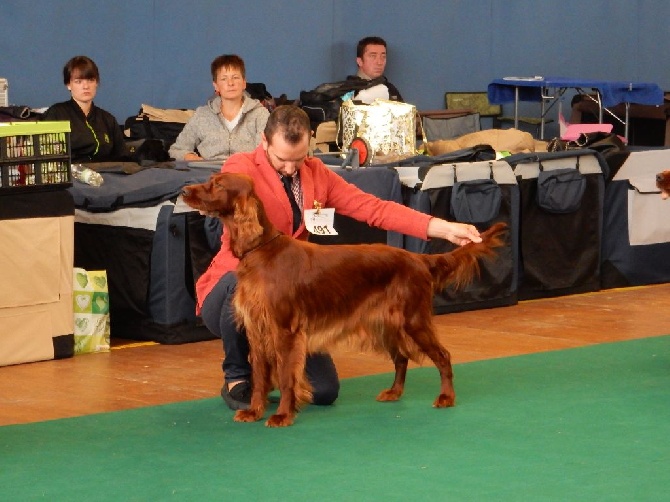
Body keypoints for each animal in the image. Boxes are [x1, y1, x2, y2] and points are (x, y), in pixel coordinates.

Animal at [181, 173, 506, 428]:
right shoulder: (257, 329)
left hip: (413, 320)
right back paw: (394, 393)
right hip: (386, 324)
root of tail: (418, 259)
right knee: (401, 358)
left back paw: (446, 397)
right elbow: (260, 377)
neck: (261, 250)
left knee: (443, 356)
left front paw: (283, 415)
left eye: (217, 184)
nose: (184, 191)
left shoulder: (285, 331)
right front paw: (254, 411)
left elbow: (285, 376)